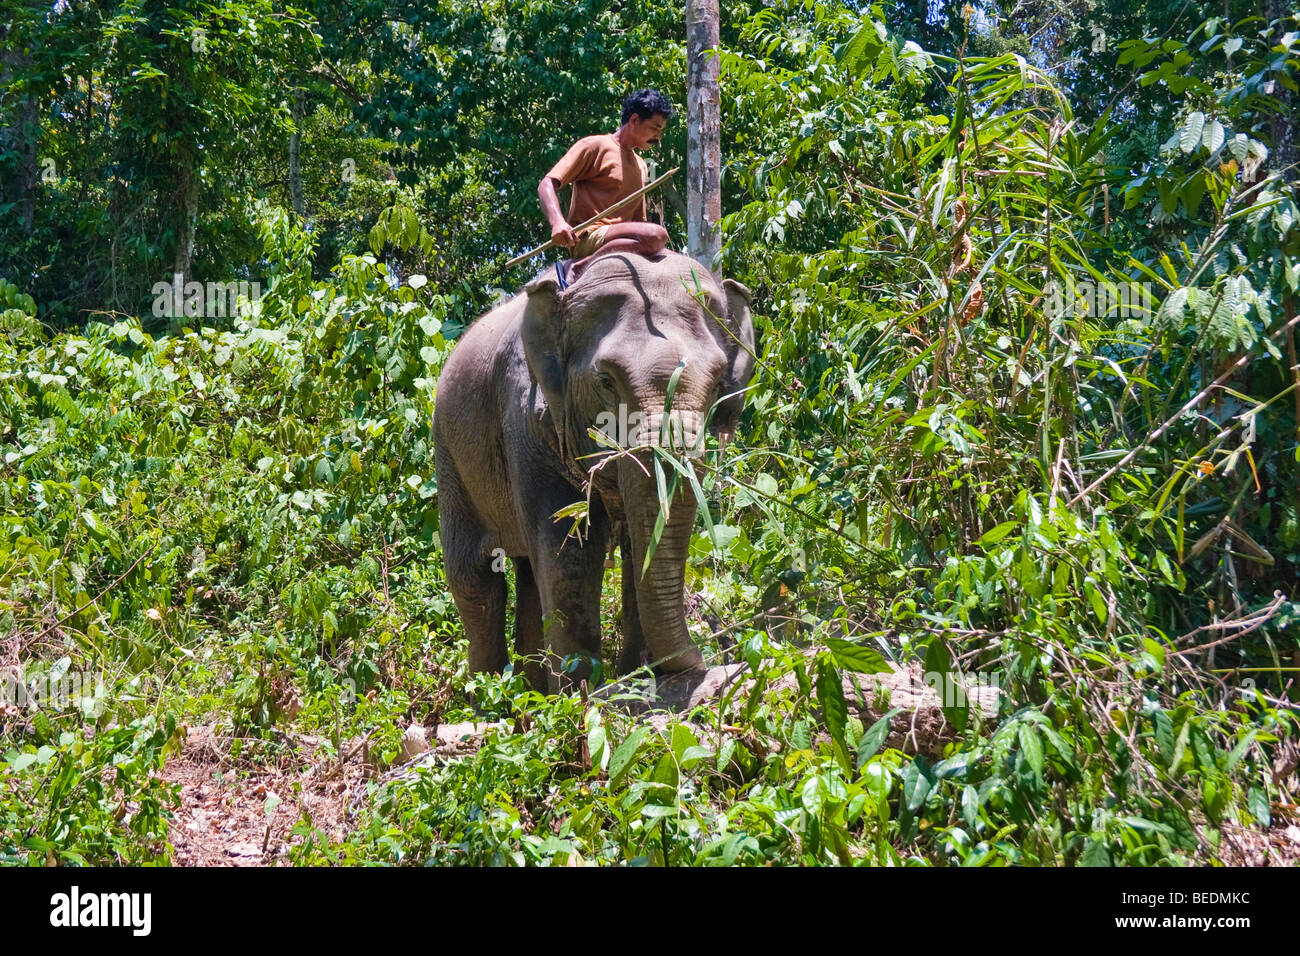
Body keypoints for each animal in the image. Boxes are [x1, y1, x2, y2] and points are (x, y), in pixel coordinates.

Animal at [431, 251, 759, 691]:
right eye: (606, 380)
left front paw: (638, 677)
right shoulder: (525, 421)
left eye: (718, 382)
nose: (706, 656)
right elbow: (569, 552)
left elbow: (637, 547)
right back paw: (489, 695)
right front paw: (579, 695)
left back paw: (530, 693)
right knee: (475, 578)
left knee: (528, 574)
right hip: (450, 457)